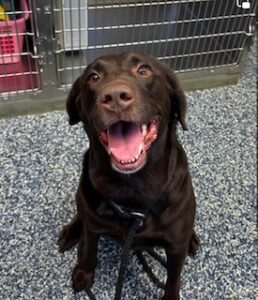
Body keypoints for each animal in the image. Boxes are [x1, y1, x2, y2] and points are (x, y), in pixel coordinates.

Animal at [58, 52, 200, 298]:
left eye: (144, 70)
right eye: (93, 77)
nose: (115, 96)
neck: (133, 186)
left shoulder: (175, 249)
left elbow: (173, 280)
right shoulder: (93, 227)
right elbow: (89, 248)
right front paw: (84, 271)